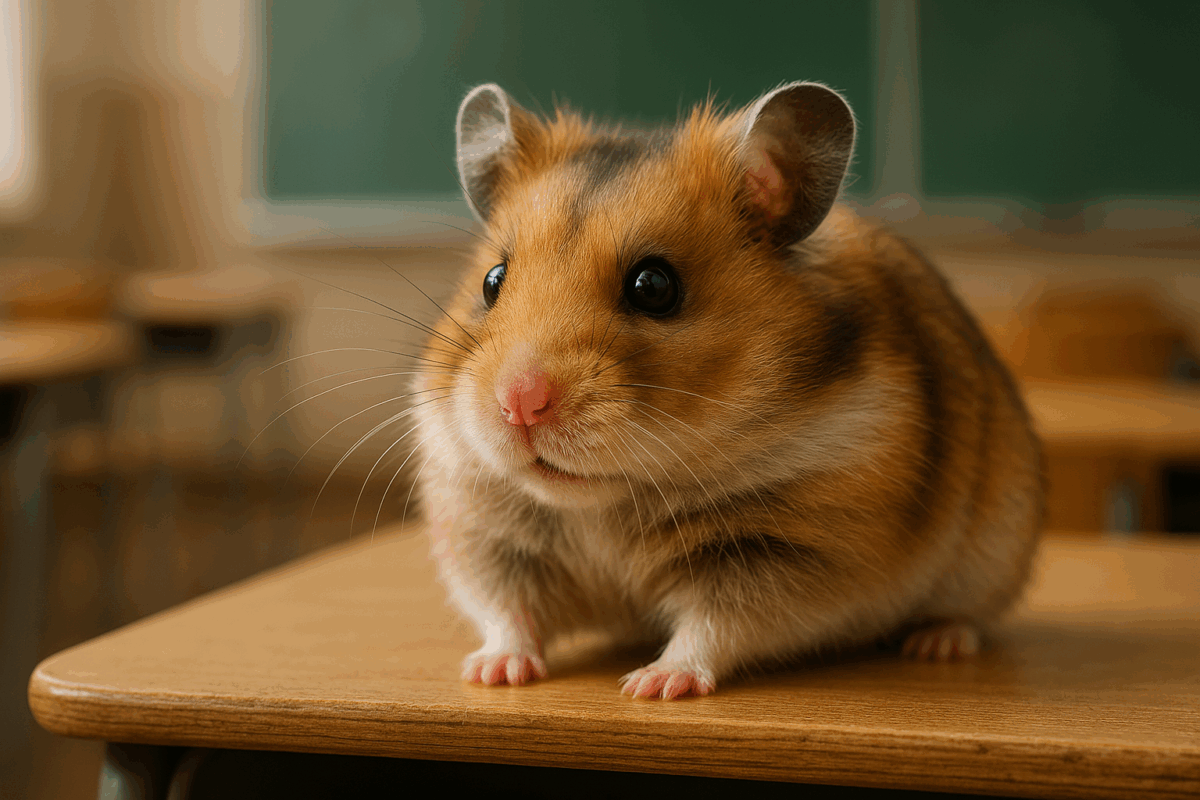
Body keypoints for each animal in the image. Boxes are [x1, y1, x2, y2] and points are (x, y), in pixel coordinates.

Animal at [410, 81, 1043, 700]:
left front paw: (651, 685)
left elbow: (715, 625)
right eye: (492, 281)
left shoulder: (791, 553)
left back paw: (936, 644)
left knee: (967, 615)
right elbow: (505, 612)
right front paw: (490, 673)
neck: (608, 503)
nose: (519, 403)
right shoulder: (483, 534)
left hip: (995, 548)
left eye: (654, 286)